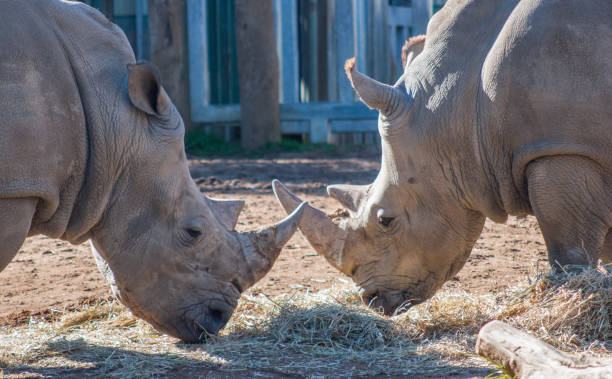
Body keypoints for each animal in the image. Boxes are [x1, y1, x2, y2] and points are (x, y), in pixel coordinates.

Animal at [274, 0, 612, 316]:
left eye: (386, 221)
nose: (372, 300)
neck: (462, 103)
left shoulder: (562, 148)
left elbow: (568, 251)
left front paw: (574, 297)